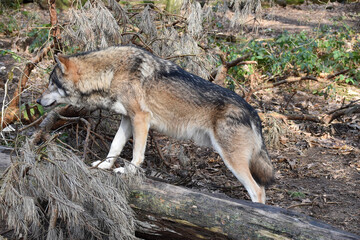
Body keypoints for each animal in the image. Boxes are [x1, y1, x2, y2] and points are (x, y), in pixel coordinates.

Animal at [36, 46, 274, 203]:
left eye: (51, 84)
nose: (38, 101)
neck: (111, 73)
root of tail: (253, 112)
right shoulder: (127, 119)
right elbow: (115, 145)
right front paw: (105, 166)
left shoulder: (141, 118)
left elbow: (137, 154)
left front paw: (127, 171)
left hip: (231, 159)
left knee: (257, 191)